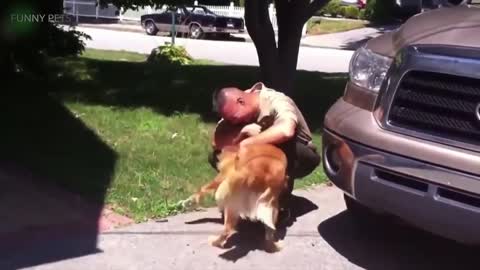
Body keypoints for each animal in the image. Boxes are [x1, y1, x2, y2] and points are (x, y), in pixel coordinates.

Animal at [181, 121, 288, 252]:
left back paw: (215, 242)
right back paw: (274, 245)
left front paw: (189, 202)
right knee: (269, 233)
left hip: (232, 203)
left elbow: (202, 190)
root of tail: (258, 174)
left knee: (227, 229)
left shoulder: (221, 176)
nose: (213, 150)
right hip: (271, 207)